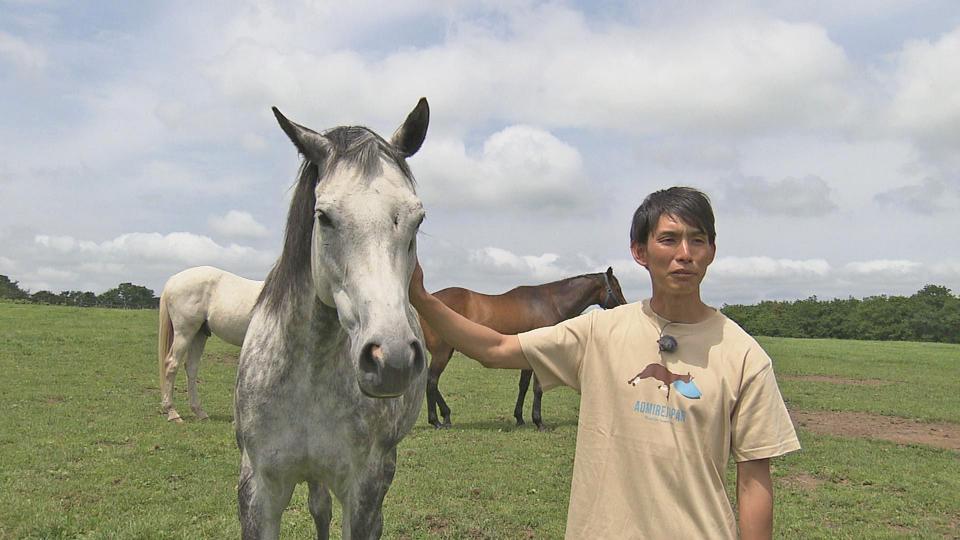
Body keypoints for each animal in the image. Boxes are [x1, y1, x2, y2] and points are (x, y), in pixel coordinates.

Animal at [157, 266, 263, 422]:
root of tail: (173, 280)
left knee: (191, 367)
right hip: (184, 333)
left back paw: (199, 411)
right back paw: (173, 413)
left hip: (199, 335)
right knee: (172, 365)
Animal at [421, 267, 628, 430]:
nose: (625, 307)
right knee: (431, 381)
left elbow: (523, 386)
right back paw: (436, 421)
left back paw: (446, 416)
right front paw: (539, 422)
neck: (550, 303)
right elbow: (537, 388)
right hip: (442, 353)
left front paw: (520, 418)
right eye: (617, 288)